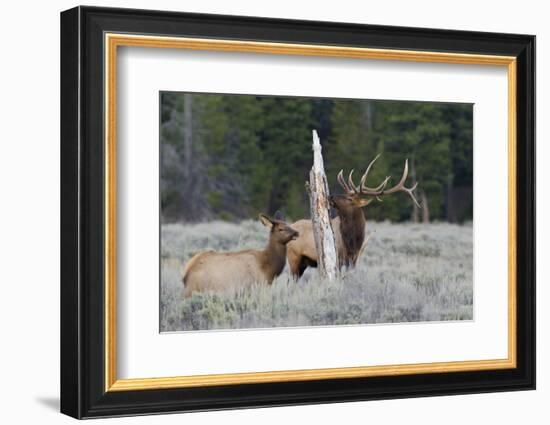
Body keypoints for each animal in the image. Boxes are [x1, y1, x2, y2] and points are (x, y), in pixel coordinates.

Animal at [286, 156, 420, 278]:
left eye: (349, 199)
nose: (330, 196)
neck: (353, 240)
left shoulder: (354, 259)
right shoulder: (338, 258)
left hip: (302, 263)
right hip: (294, 257)